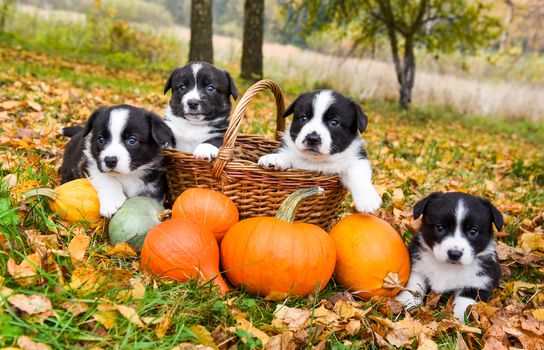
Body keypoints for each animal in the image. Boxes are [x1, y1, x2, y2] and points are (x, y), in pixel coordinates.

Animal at [394, 191, 504, 322]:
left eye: (473, 232)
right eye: (440, 228)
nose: (454, 254)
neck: (448, 267)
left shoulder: (479, 282)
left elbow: (464, 303)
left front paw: (457, 320)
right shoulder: (418, 266)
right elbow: (414, 285)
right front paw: (405, 301)